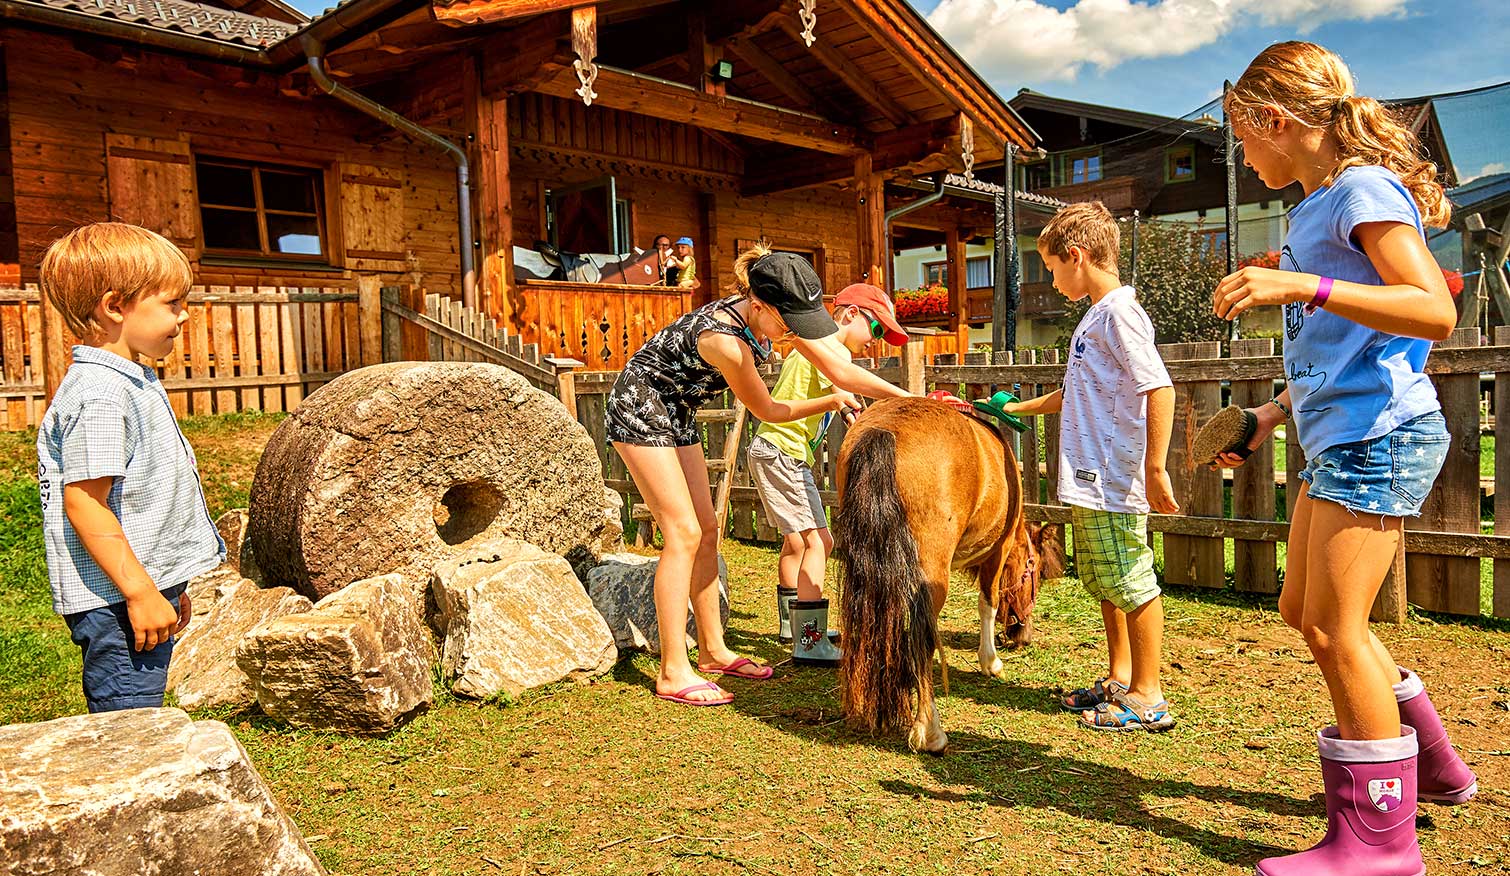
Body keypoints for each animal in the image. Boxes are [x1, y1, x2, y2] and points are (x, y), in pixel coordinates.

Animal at [839, 395, 1063, 752]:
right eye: (1034, 571)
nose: (1023, 636)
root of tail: (884, 432)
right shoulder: (997, 552)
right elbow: (988, 604)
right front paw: (990, 661)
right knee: (922, 638)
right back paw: (930, 730)